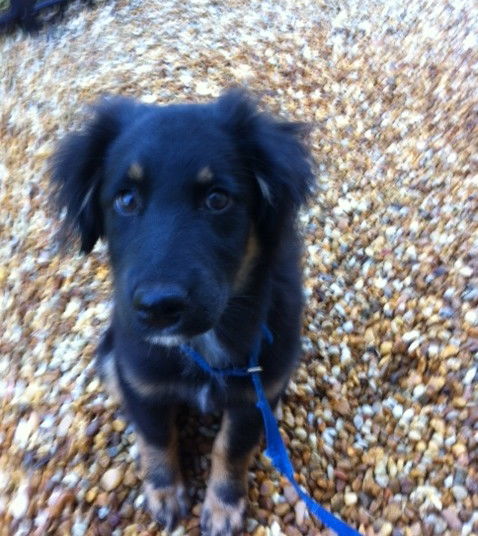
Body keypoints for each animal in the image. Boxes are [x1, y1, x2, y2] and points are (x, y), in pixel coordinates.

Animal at [51, 91, 314, 536]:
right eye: (126, 199)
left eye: (217, 199)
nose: (160, 308)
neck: (200, 345)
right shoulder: (142, 380)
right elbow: (156, 437)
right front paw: (163, 493)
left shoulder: (252, 391)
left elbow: (231, 447)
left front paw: (224, 506)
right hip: (109, 354)